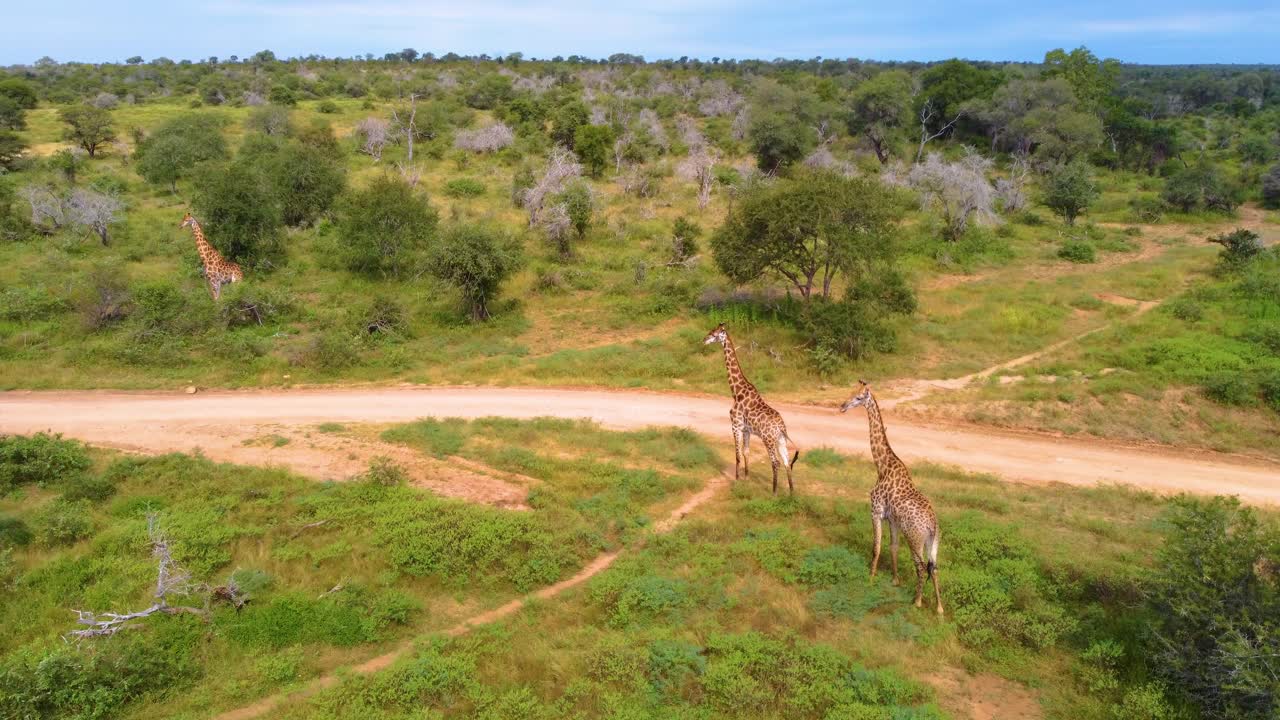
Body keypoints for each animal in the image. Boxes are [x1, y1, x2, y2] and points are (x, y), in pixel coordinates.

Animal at [703, 323, 800, 494]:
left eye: (714, 333)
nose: (704, 339)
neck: (736, 391)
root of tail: (781, 427)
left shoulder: (735, 425)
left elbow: (737, 455)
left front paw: (736, 480)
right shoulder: (746, 430)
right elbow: (746, 453)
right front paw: (747, 479)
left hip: (768, 439)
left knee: (776, 462)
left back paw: (774, 493)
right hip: (780, 440)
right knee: (787, 462)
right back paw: (791, 493)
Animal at [841, 380, 943, 614]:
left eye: (859, 397)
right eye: (850, 391)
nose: (842, 406)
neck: (882, 465)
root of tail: (932, 525)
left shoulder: (876, 512)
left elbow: (876, 546)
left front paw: (870, 577)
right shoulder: (893, 520)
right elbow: (893, 547)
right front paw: (895, 580)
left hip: (914, 538)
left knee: (921, 567)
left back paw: (917, 601)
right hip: (931, 542)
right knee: (934, 568)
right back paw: (939, 609)